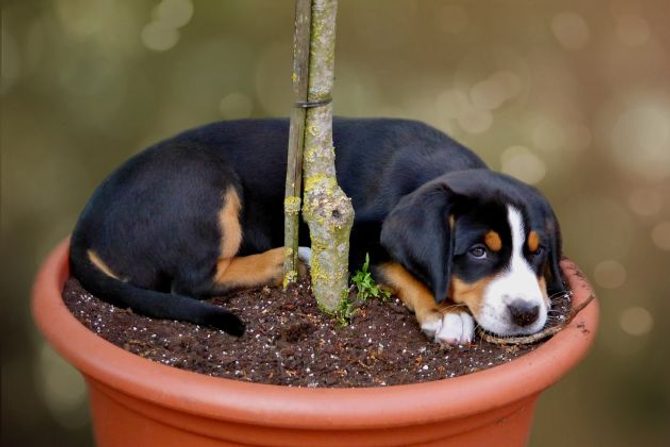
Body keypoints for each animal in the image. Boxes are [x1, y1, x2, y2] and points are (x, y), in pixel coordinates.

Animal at [71, 117, 564, 344]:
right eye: (478, 252)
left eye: (538, 252)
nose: (526, 314)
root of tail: (86, 222)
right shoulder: (356, 236)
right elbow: (402, 269)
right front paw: (444, 313)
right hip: (202, 175)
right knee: (193, 281)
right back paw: (288, 260)